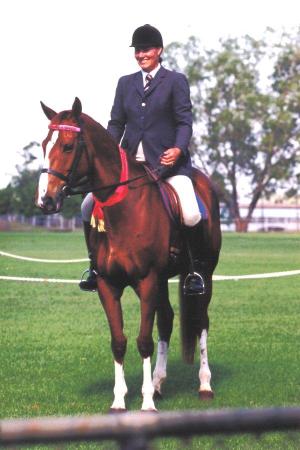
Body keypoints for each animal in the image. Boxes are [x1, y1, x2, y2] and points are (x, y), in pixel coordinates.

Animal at [36, 97, 221, 412]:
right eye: (44, 144)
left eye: (68, 146)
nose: (45, 200)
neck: (123, 212)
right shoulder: (108, 285)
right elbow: (119, 340)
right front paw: (119, 401)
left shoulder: (146, 280)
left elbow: (144, 340)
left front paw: (146, 405)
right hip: (162, 281)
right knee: (167, 319)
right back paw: (158, 383)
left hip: (203, 274)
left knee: (201, 321)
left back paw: (204, 385)